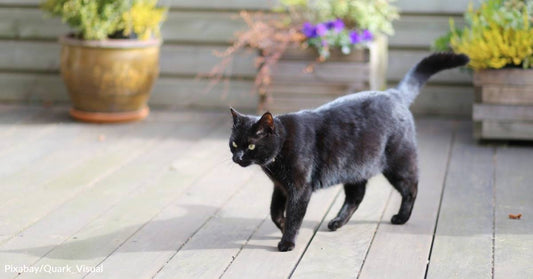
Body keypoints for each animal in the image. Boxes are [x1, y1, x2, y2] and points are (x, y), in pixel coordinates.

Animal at [227, 52, 468, 252]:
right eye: (234, 144)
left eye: (250, 145)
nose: (237, 158)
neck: (278, 155)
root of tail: (393, 94)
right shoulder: (281, 187)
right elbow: (274, 212)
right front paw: (283, 225)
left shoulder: (299, 189)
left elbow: (294, 215)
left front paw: (287, 242)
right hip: (355, 169)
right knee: (356, 197)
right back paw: (336, 222)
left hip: (397, 163)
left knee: (411, 188)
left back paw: (401, 217)